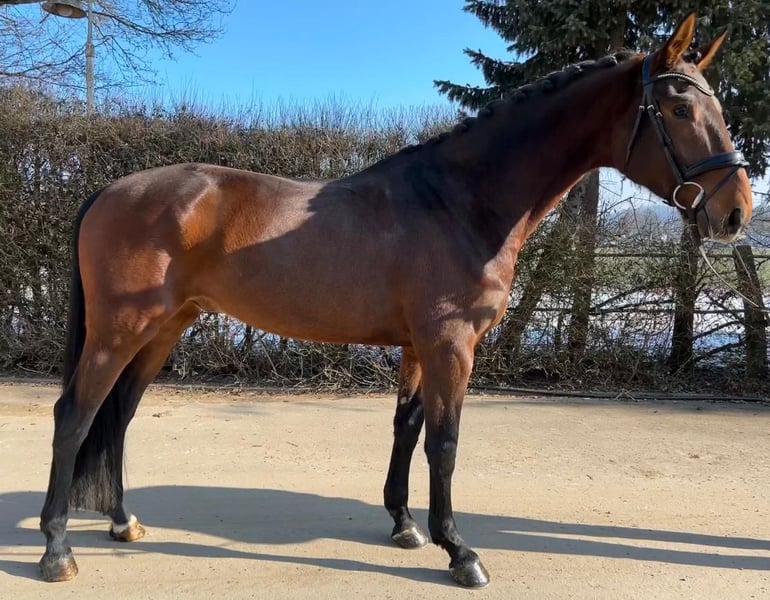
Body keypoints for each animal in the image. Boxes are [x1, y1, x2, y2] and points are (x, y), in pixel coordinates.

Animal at [39, 13, 752, 587]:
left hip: (164, 328)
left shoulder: (417, 346)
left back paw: (123, 522)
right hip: (121, 329)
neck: (460, 200)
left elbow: (407, 429)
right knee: (75, 414)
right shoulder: (450, 344)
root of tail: (108, 190)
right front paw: (460, 551)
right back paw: (56, 550)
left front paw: (406, 524)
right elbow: (446, 442)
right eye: (680, 111)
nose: (736, 213)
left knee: (119, 416)